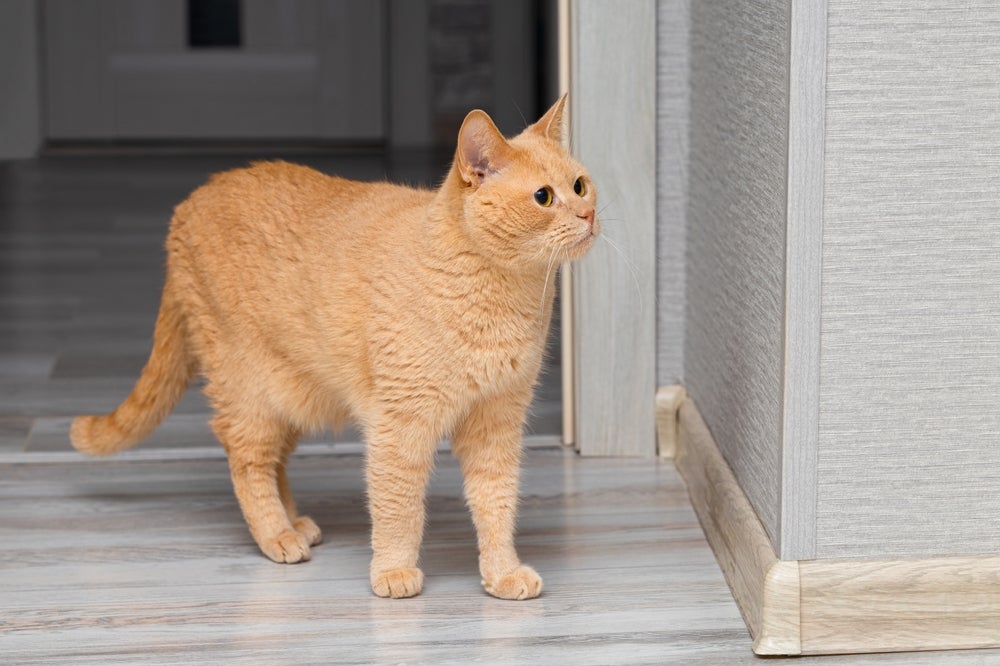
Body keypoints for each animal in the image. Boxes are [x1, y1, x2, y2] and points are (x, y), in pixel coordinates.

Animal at [72, 96, 600, 600]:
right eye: (543, 197)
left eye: (579, 185)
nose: (589, 214)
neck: (502, 296)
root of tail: (191, 200)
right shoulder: (398, 426)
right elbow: (398, 508)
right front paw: (393, 571)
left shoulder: (497, 422)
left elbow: (496, 504)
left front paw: (502, 573)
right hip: (248, 390)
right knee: (247, 460)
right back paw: (277, 535)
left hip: (291, 396)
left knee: (275, 462)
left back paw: (294, 522)